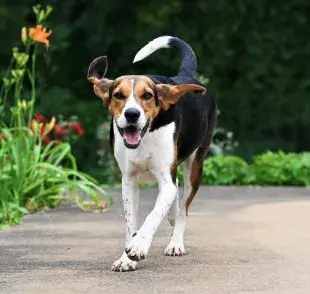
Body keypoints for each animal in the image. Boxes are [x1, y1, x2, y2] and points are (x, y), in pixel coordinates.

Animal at [87, 36, 217, 272]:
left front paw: (139, 246)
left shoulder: (166, 179)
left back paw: (176, 242)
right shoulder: (129, 181)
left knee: (183, 208)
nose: (132, 114)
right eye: (118, 95)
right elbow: (131, 223)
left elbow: (153, 215)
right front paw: (126, 257)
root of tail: (185, 76)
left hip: (195, 167)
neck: (146, 135)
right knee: (176, 198)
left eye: (147, 95)